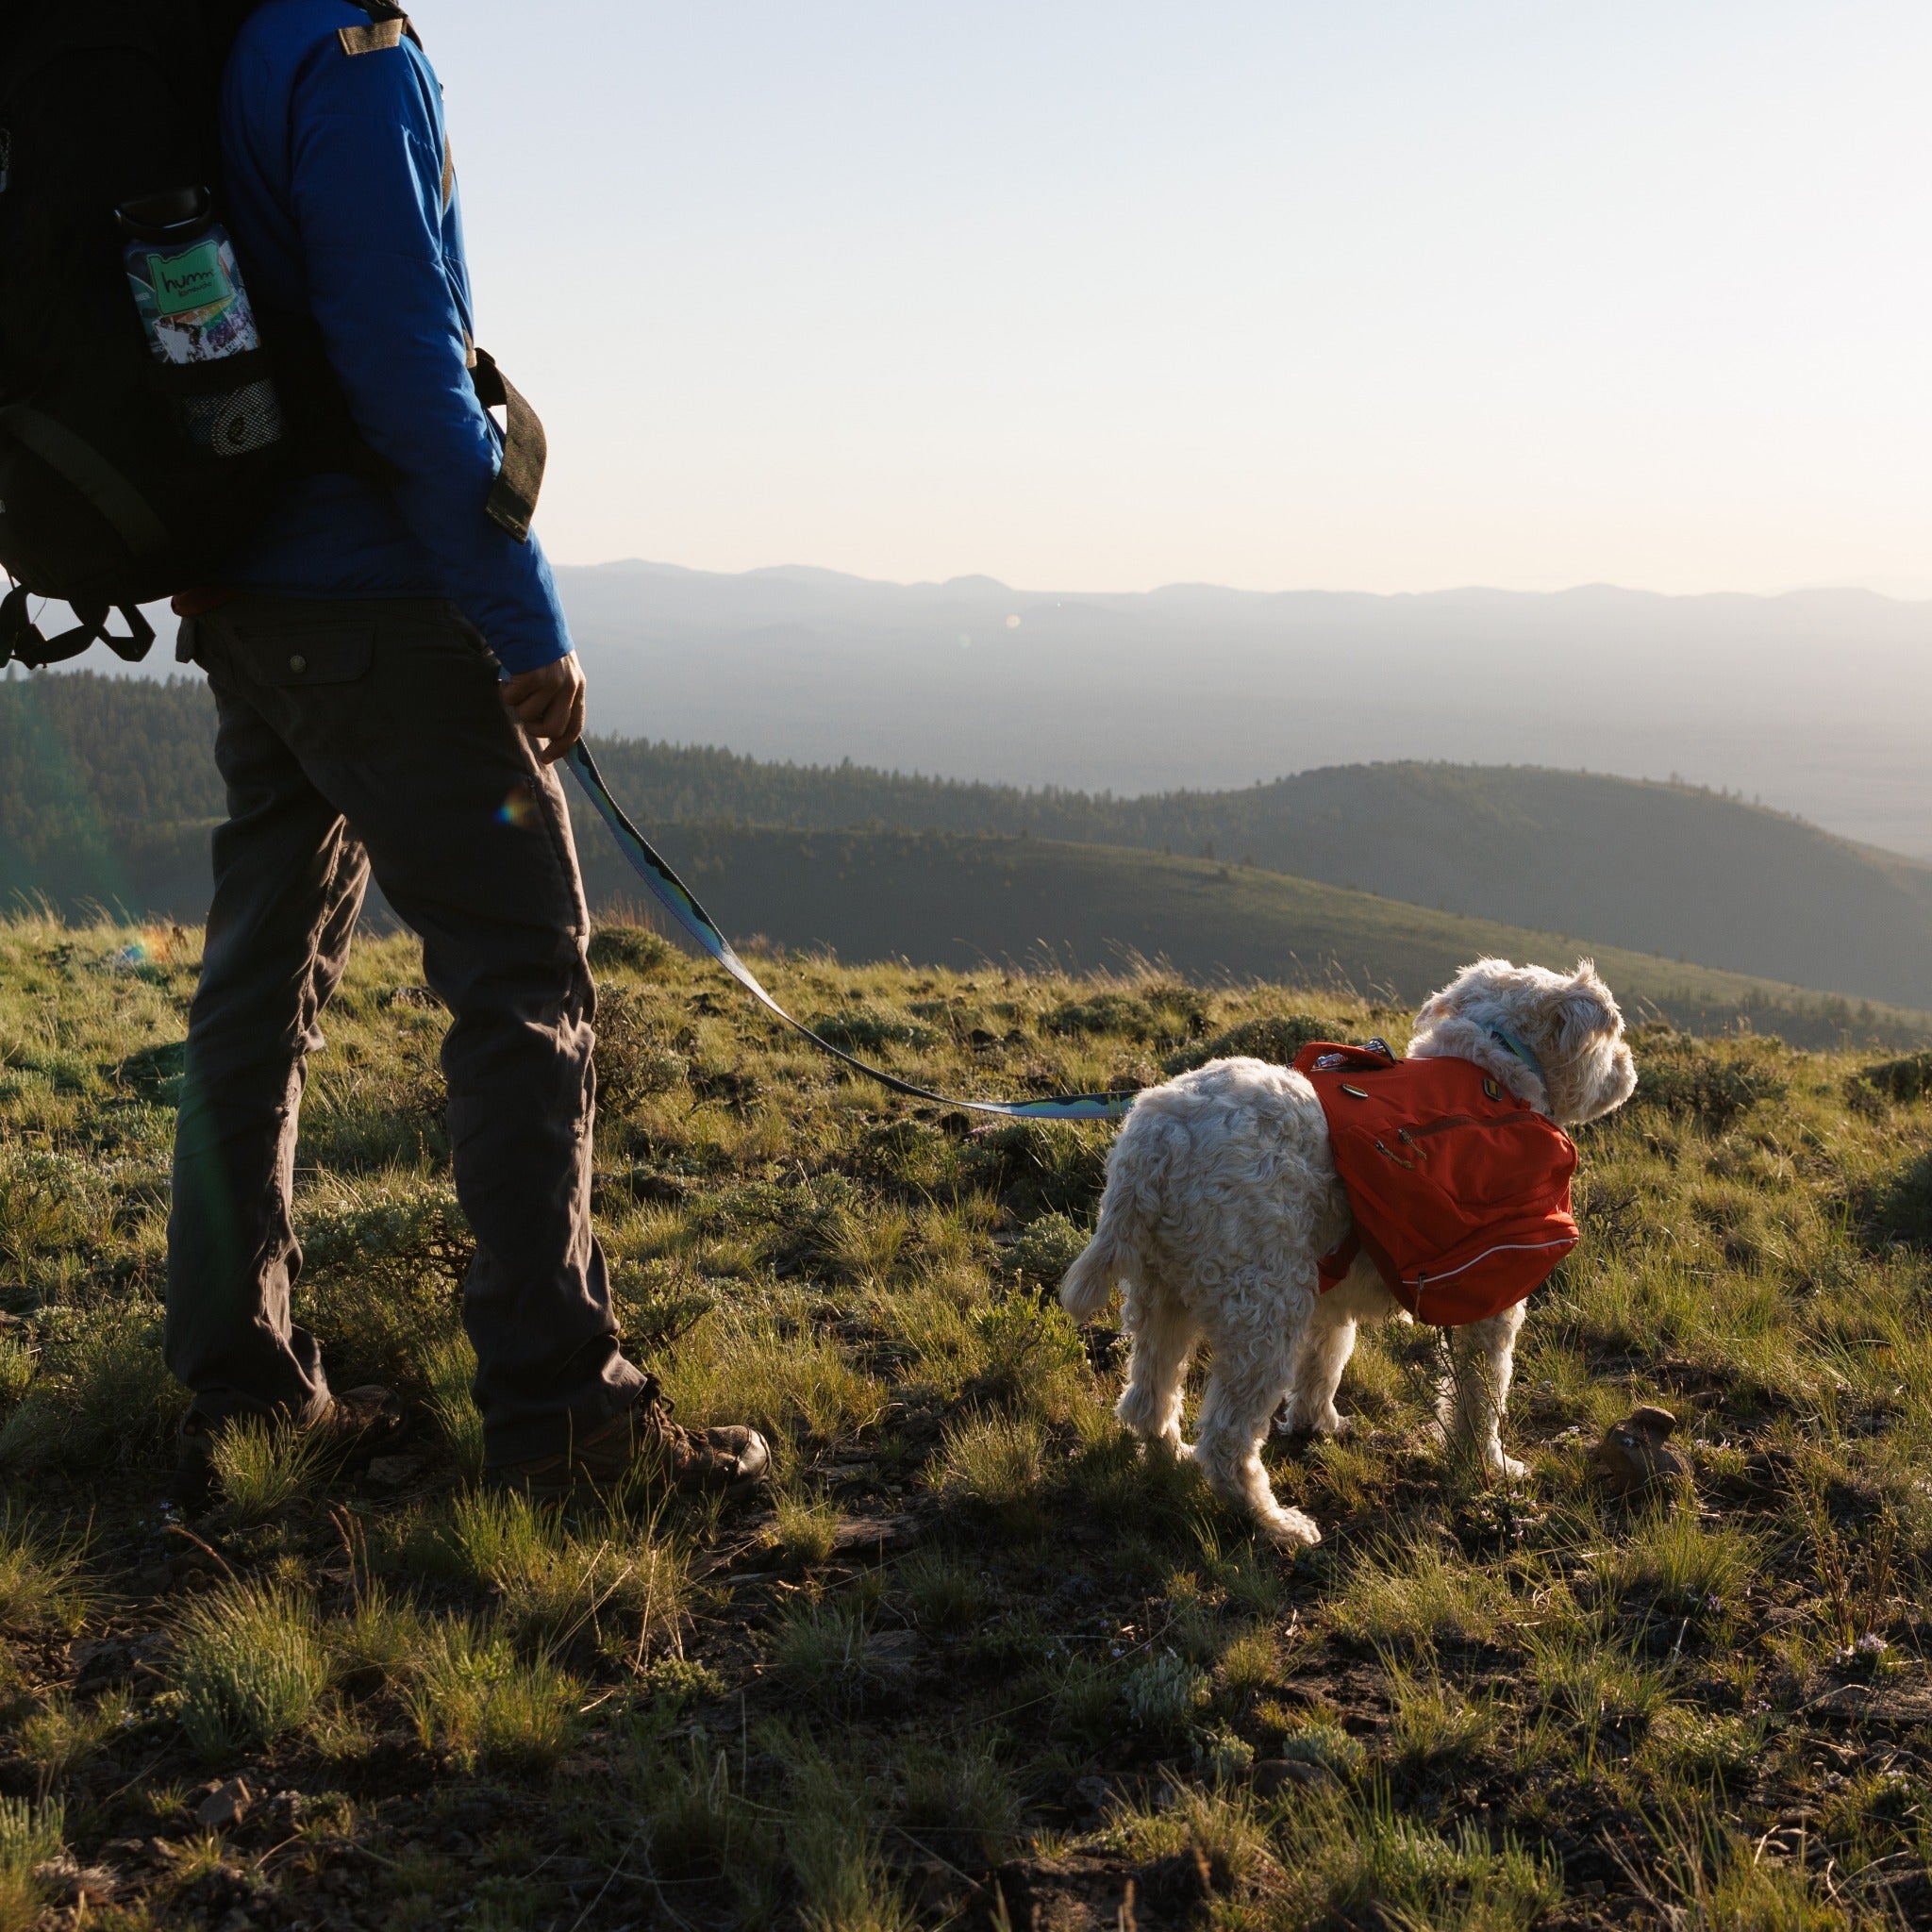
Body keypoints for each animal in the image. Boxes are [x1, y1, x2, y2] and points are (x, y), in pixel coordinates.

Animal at [1066, 958, 1638, 1545]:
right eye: (1613, 1036)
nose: (1628, 1068)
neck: (1495, 1069)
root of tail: (1155, 1140)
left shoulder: (1331, 1298)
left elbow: (1326, 1361)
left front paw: (1319, 1423)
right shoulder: (1491, 1304)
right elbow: (1483, 1395)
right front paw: (1490, 1464)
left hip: (1162, 1292)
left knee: (1147, 1398)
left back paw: (1170, 1459)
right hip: (1263, 1307)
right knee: (1226, 1437)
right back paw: (1273, 1521)